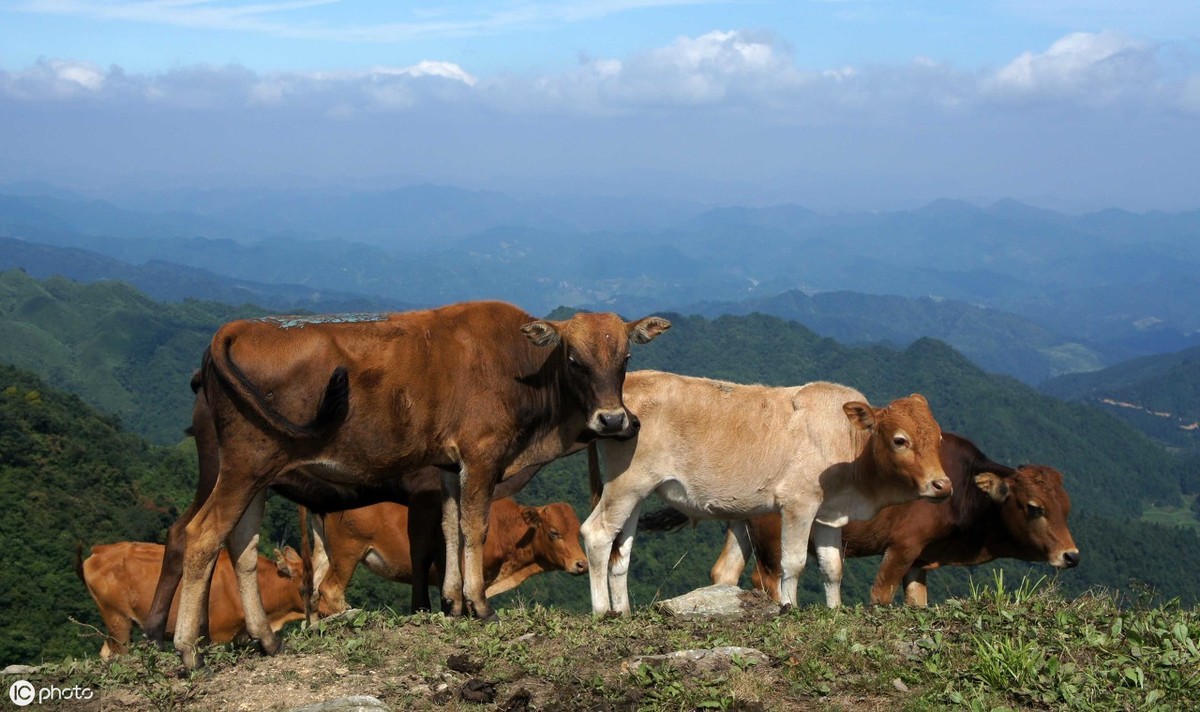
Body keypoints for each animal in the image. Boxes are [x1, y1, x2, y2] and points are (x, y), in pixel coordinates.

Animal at [312, 497, 588, 614]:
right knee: (329, 591)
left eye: (578, 532)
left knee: (314, 592)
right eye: (554, 532)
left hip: (325, 552)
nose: (582, 564)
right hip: (347, 552)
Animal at [580, 369, 945, 614]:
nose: (942, 485)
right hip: (627, 483)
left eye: (939, 437)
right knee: (597, 533)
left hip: (635, 491)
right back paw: (602, 611)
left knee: (621, 550)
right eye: (900, 440)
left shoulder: (828, 514)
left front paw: (834, 611)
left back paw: (623, 611)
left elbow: (832, 569)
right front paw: (789, 608)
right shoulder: (798, 503)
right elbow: (793, 563)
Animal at [696, 432, 1080, 605]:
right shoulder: (904, 545)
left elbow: (916, 601)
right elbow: (881, 594)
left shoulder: (921, 558)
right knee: (766, 578)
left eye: (1067, 508)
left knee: (725, 572)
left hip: (743, 524)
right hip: (774, 534)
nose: (1071, 555)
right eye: (1035, 507)